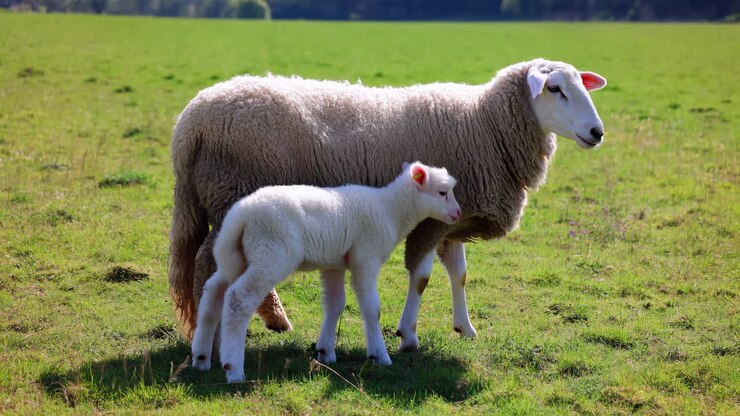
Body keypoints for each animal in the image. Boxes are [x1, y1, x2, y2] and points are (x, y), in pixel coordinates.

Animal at [169, 58, 607, 353]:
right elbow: (422, 277)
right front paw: (407, 334)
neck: (484, 124)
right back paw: (215, 337)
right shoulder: (430, 223)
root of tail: (189, 122)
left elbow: (460, 274)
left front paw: (465, 327)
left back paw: (267, 321)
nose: (597, 132)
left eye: (582, 87)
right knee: (208, 263)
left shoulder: (453, 218)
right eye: (554, 89)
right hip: (232, 193)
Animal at [190, 162, 461, 383]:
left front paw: (326, 353)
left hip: (234, 256)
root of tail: (241, 217)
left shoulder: (334, 263)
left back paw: (201, 358)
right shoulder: (366, 258)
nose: (458, 214)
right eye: (442, 192)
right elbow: (372, 309)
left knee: (213, 291)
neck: (391, 210)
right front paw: (380, 355)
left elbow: (335, 304)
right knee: (239, 298)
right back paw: (233, 368)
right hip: (270, 253)